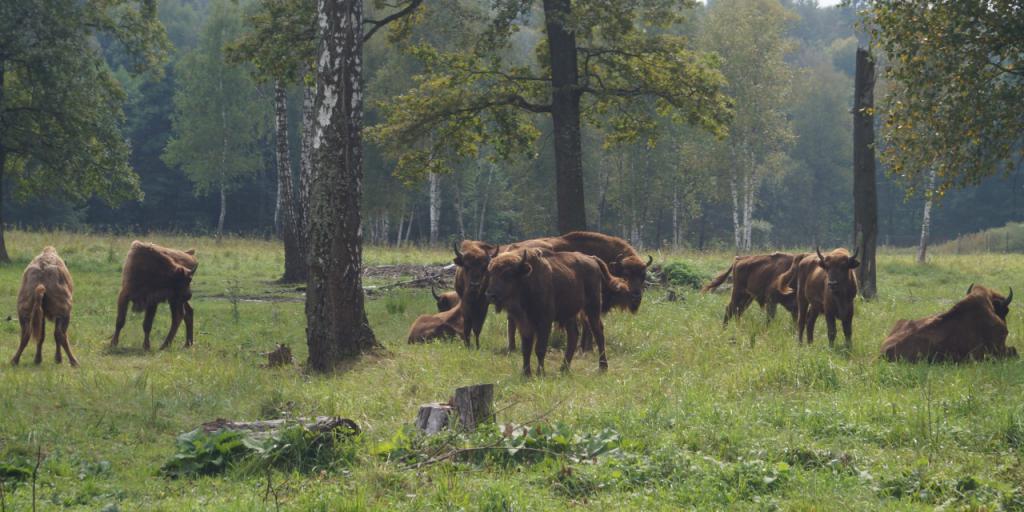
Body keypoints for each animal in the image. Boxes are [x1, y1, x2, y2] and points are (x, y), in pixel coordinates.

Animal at [483, 248, 626, 376]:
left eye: (507, 274)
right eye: (490, 273)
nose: (490, 295)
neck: (527, 280)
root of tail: (592, 259)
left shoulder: (544, 322)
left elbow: (539, 348)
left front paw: (540, 373)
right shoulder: (523, 323)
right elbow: (526, 348)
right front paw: (526, 373)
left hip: (593, 307)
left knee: (598, 332)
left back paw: (602, 367)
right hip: (570, 314)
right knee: (573, 335)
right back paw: (564, 368)